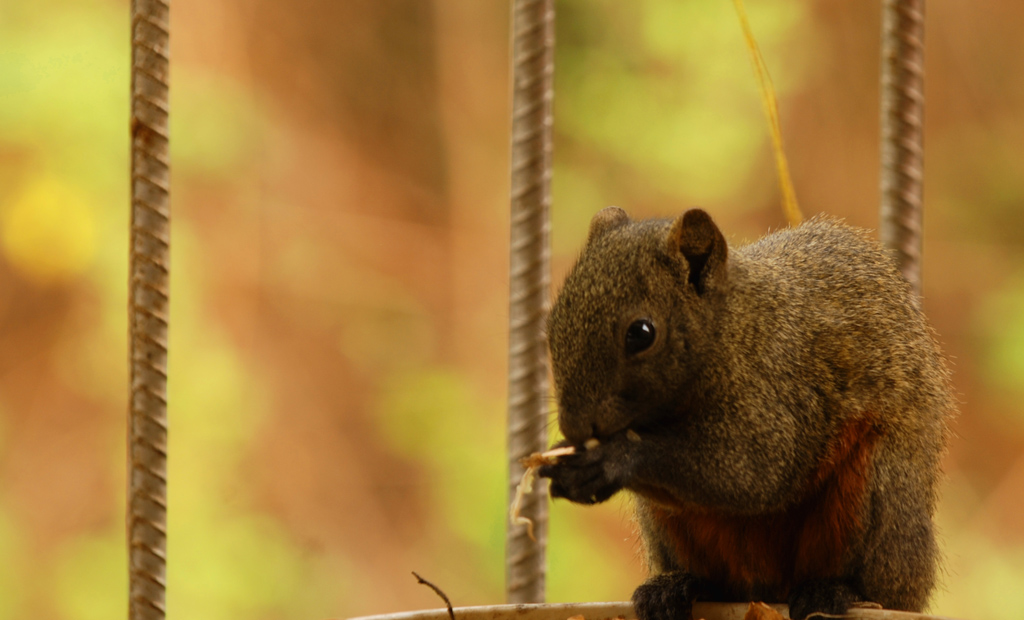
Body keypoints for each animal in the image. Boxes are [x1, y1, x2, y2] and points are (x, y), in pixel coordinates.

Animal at [536, 207, 950, 618]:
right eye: (552, 324)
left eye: (641, 333)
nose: (575, 428)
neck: (730, 328)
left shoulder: (779, 389)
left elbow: (756, 475)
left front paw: (611, 459)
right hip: (666, 526)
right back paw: (674, 587)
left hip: (875, 491)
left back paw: (832, 592)